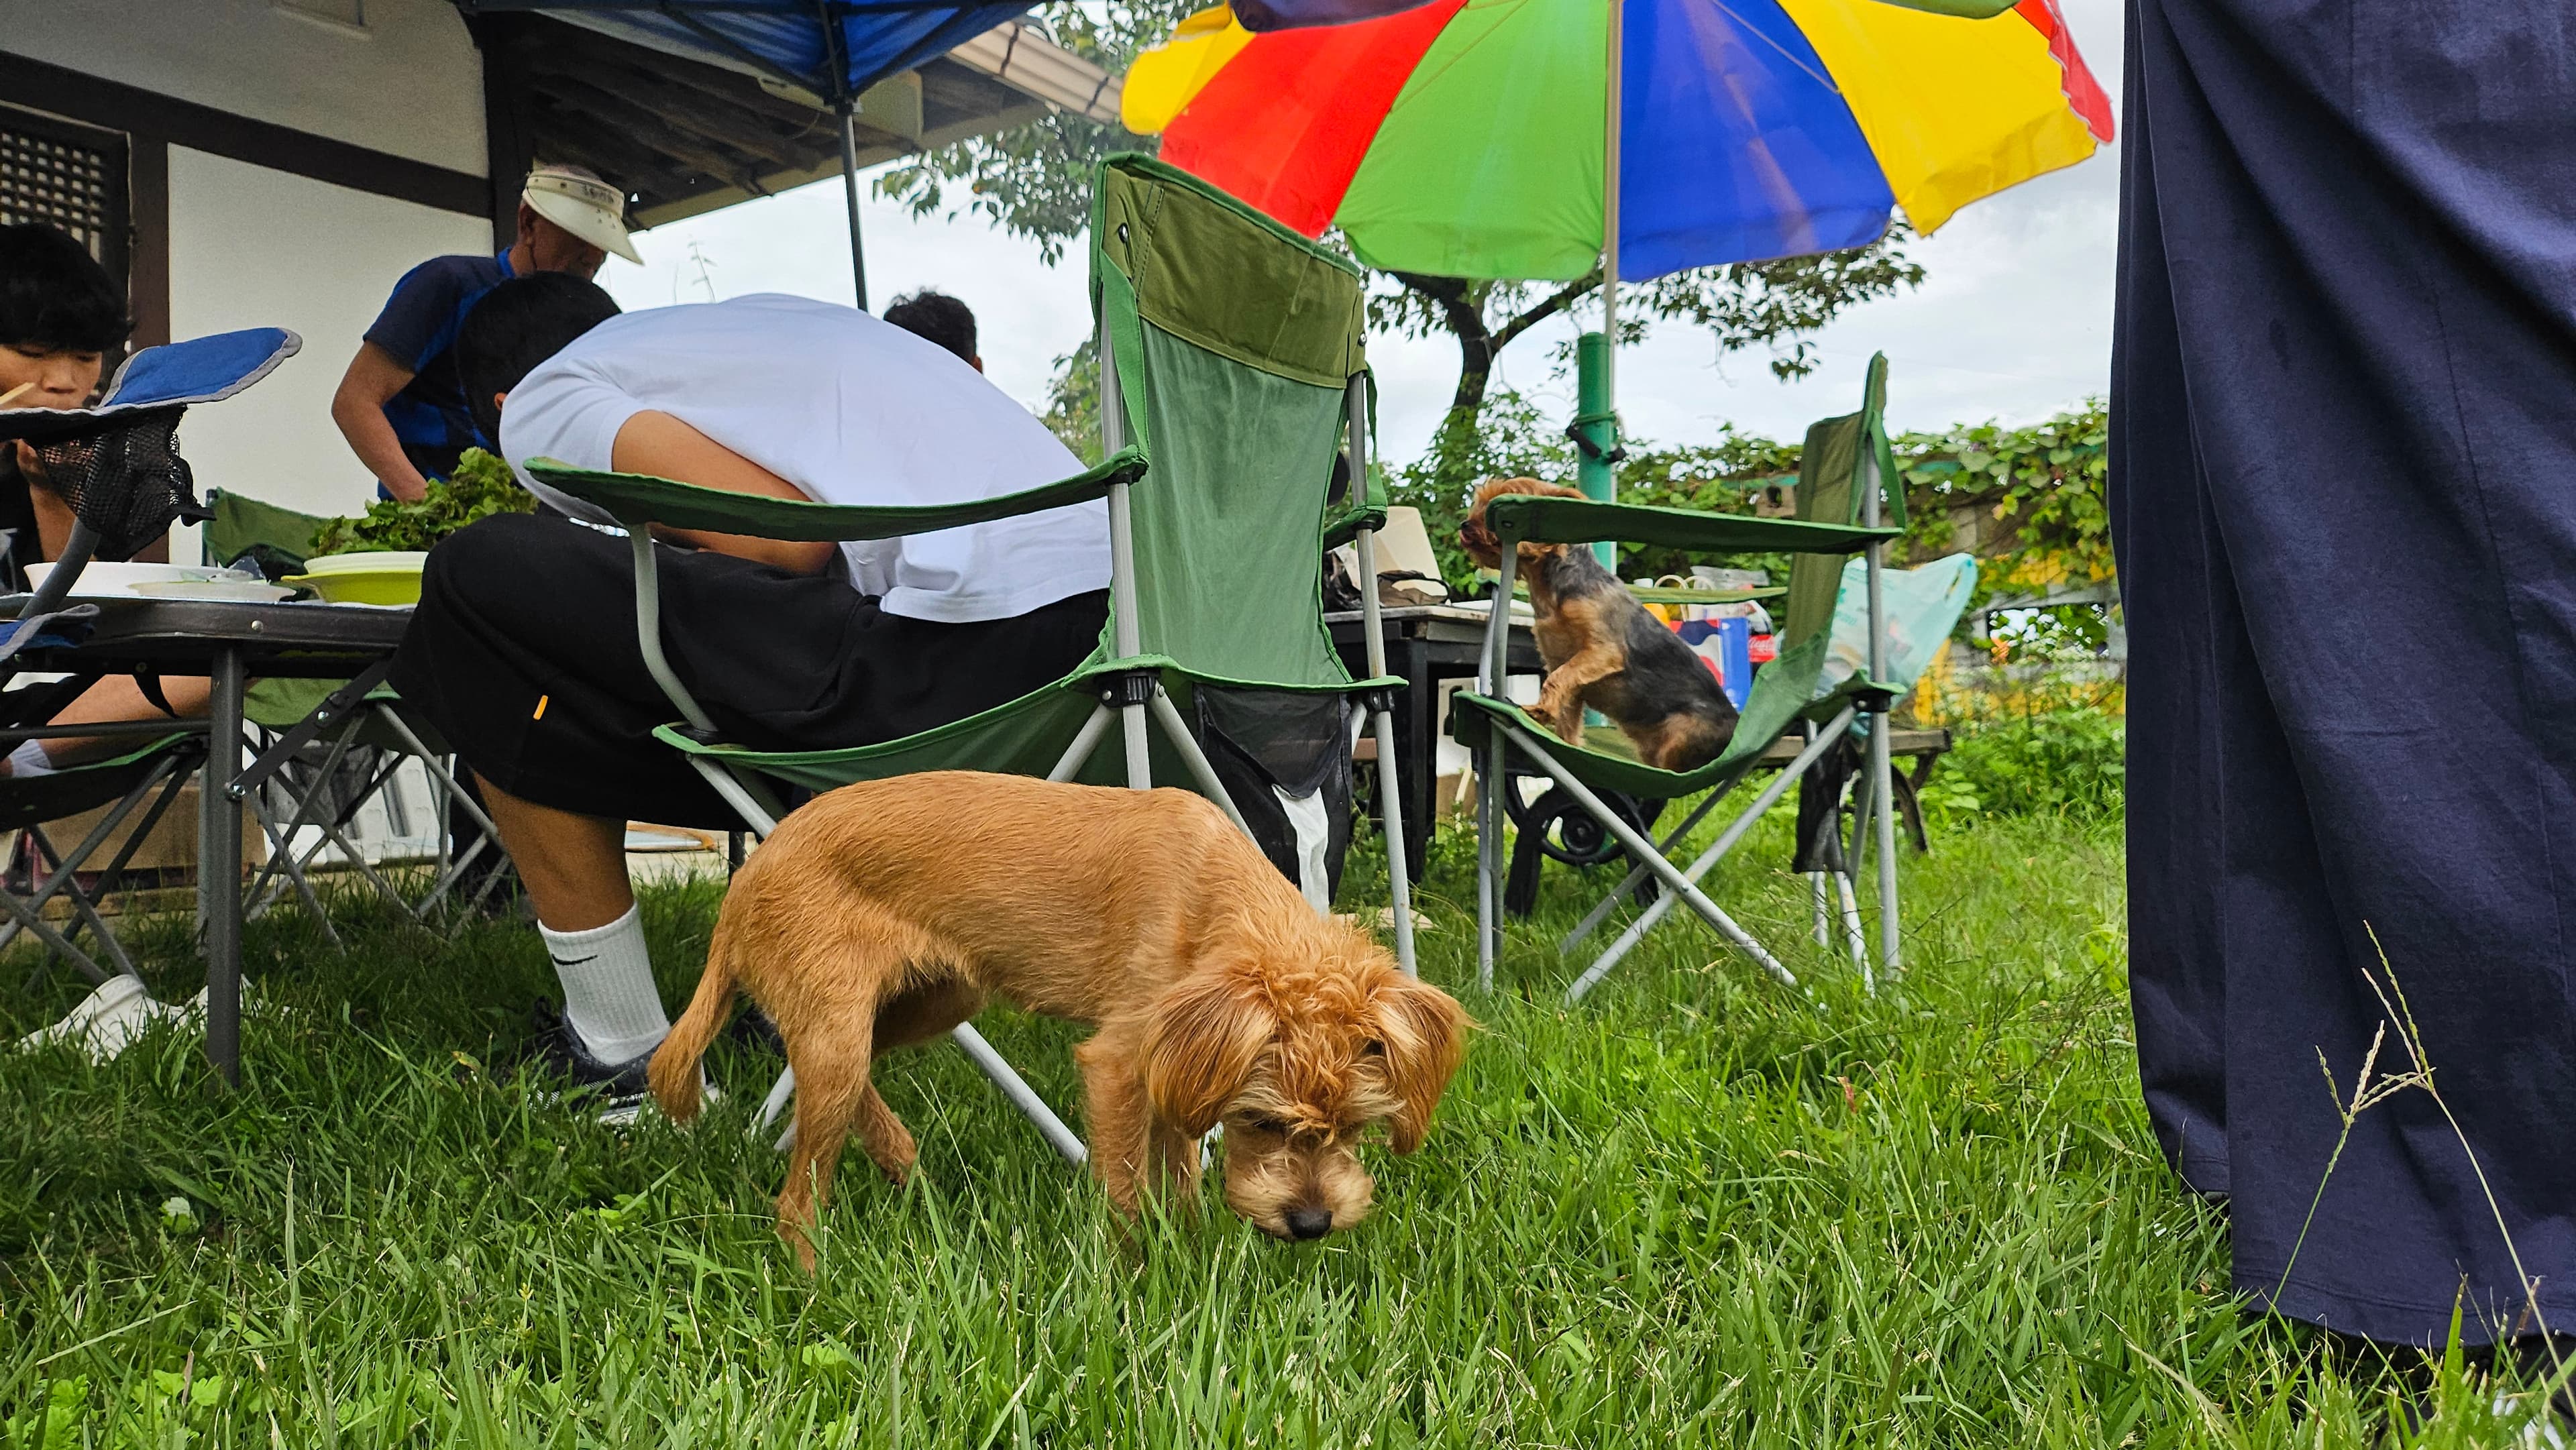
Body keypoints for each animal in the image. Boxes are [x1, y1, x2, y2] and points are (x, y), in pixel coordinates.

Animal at [649, 773, 1473, 1272]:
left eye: (1356, 1125)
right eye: (1264, 1121)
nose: (1310, 1223)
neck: (1214, 892)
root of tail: (747, 877)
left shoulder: (1182, 1073)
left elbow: (1181, 1177)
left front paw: (1193, 1253)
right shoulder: (1122, 1063)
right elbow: (1127, 1192)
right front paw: (1136, 1280)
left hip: (927, 1004)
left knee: (842, 1084)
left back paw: (900, 1160)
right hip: (843, 1026)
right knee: (795, 1199)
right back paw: (816, 1282)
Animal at [1463, 476, 1741, 773]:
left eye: (1502, 501)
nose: (1465, 526)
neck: (1550, 590)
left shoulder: (1602, 651)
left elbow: (1557, 678)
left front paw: (1541, 710)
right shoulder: (1562, 666)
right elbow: (1566, 709)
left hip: (1681, 736)